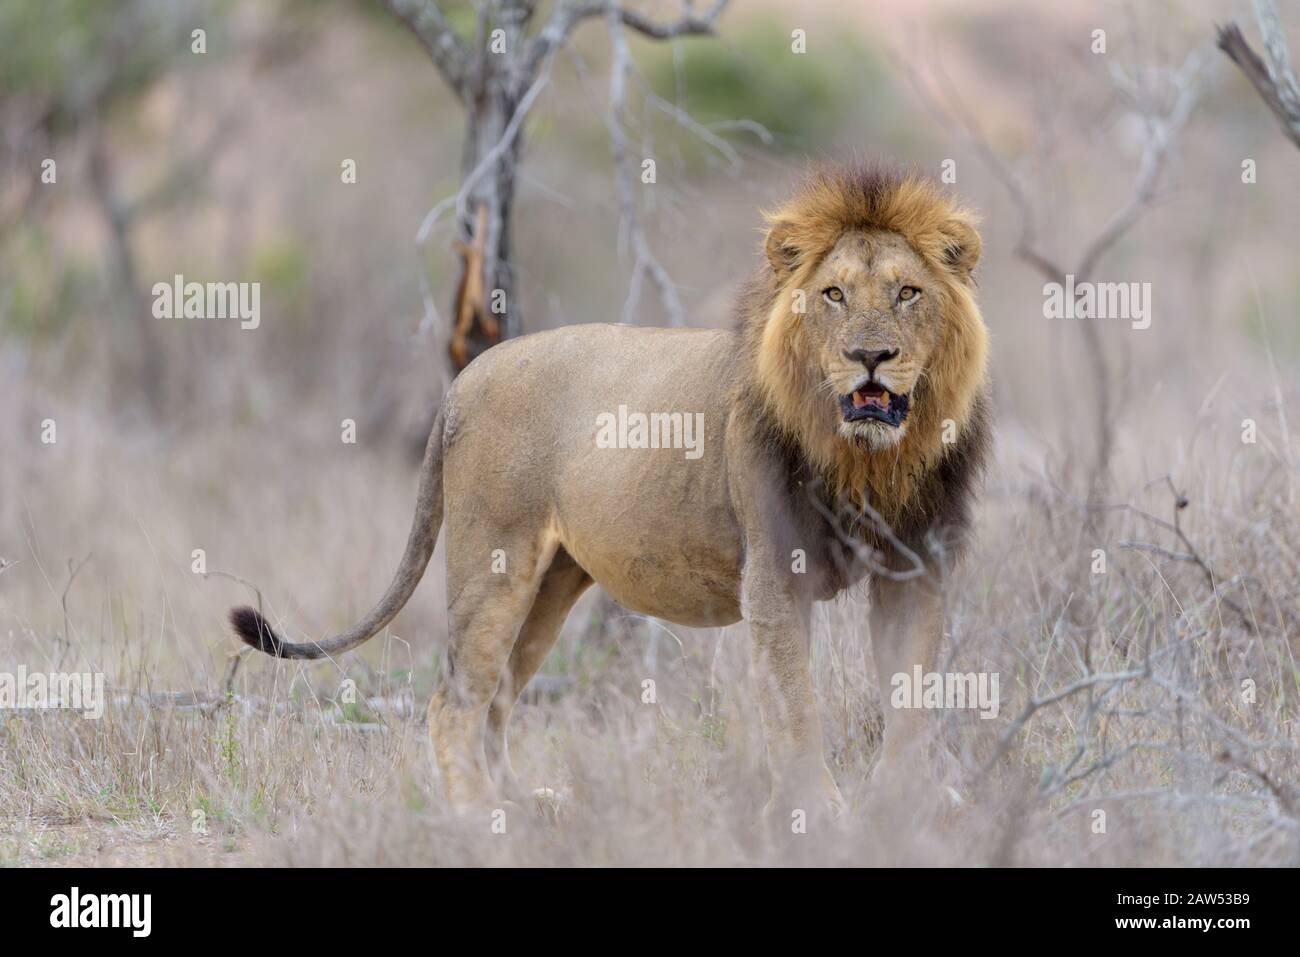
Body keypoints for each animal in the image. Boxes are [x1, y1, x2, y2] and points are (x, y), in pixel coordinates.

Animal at [230, 161, 992, 816]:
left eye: (907, 292)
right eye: (833, 294)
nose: (870, 356)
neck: (868, 461)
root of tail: (464, 380)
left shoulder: (916, 571)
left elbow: (911, 696)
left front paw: (905, 804)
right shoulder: (776, 575)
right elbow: (795, 706)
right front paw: (819, 812)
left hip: (552, 582)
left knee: (498, 698)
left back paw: (523, 803)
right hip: (494, 563)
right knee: (455, 701)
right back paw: (478, 817)